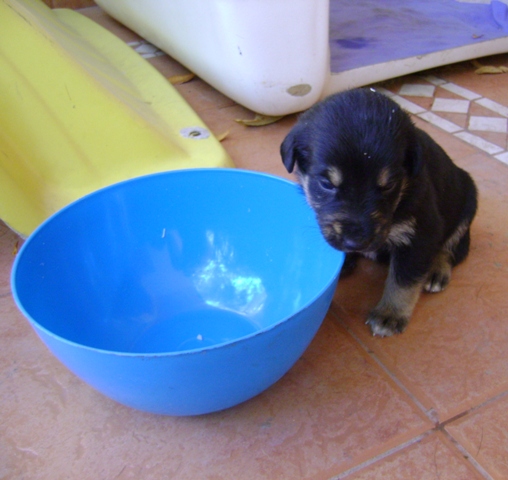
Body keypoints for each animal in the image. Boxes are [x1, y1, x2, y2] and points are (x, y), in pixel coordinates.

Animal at [282, 89, 476, 338]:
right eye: (326, 183)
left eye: (389, 184)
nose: (356, 242)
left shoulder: (422, 233)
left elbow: (403, 280)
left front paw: (390, 314)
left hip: (467, 204)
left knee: (453, 248)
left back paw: (436, 270)